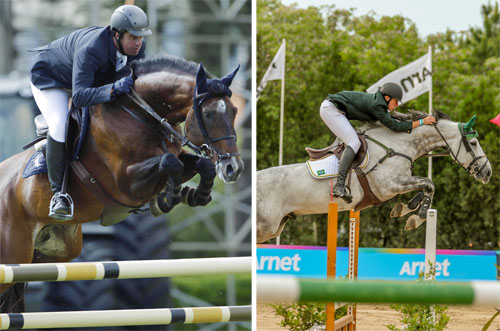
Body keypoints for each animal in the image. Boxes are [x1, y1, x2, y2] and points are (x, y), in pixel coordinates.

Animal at [0, 53, 244, 312]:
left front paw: (193, 195)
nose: (234, 168)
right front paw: (169, 198)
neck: (143, 116)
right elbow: (169, 163)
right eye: (208, 114)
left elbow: (200, 164)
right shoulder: (125, 182)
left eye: (234, 111)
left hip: (50, 253)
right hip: (13, 252)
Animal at [258, 111, 492, 244]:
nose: (488, 172)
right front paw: (416, 217)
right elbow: (429, 184)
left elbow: (425, 186)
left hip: (275, 227)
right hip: (267, 227)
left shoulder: (397, 185)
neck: (399, 145)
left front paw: (406, 209)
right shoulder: (389, 185)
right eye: (472, 144)